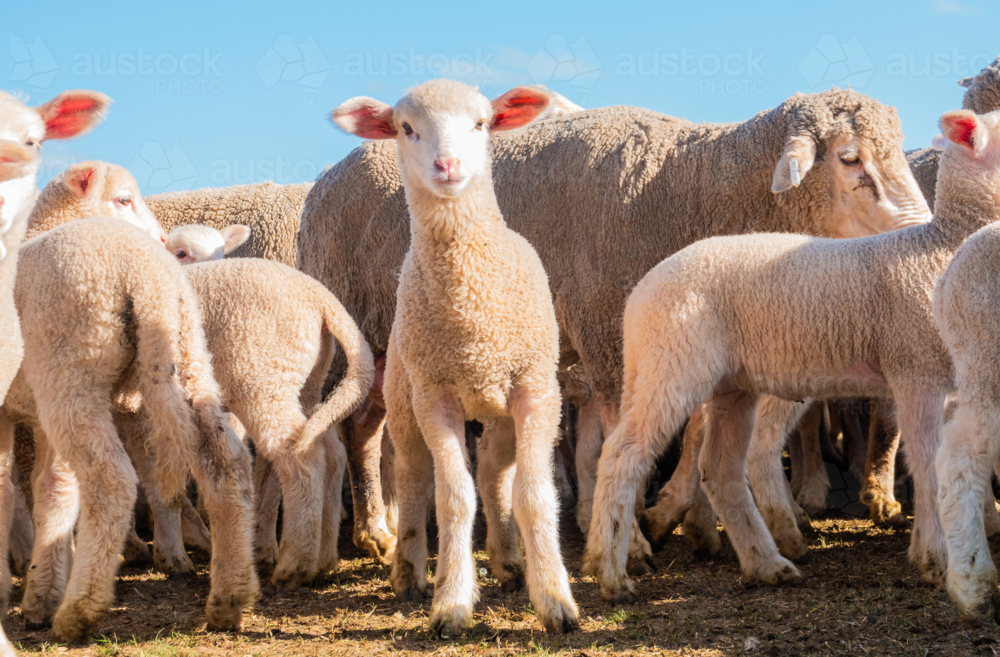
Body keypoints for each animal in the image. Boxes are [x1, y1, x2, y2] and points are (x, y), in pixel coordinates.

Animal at [299, 88, 932, 569]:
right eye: (850, 159)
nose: (925, 235)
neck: (690, 188)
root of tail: (328, 176)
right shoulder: (606, 332)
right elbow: (618, 438)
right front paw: (631, 537)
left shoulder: (689, 332)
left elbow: (693, 431)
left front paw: (680, 518)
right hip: (352, 336)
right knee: (340, 429)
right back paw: (353, 535)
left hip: (396, 347)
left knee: (367, 428)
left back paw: (381, 530)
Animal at [332, 79, 579, 636]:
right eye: (406, 127)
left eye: (481, 122)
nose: (447, 165)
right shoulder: (436, 397)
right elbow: (453, 498)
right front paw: (452, 603)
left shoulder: (537, 391)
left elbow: (534, 494)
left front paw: (555, 600)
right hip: (405, 401)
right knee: (414, 477)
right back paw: (409, 570)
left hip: (499, 409)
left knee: (492, 472)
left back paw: (509, 560)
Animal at [582, 108, 1000, 603]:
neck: (943, 243)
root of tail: (639, 296)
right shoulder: (916, 371)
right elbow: (928, 465)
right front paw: (936, 560)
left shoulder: (948, 380)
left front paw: (926, 552)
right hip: (673, 362)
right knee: (622, 456)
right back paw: (612, 573)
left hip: (728, 384)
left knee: (719, 470)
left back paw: (767, 564)